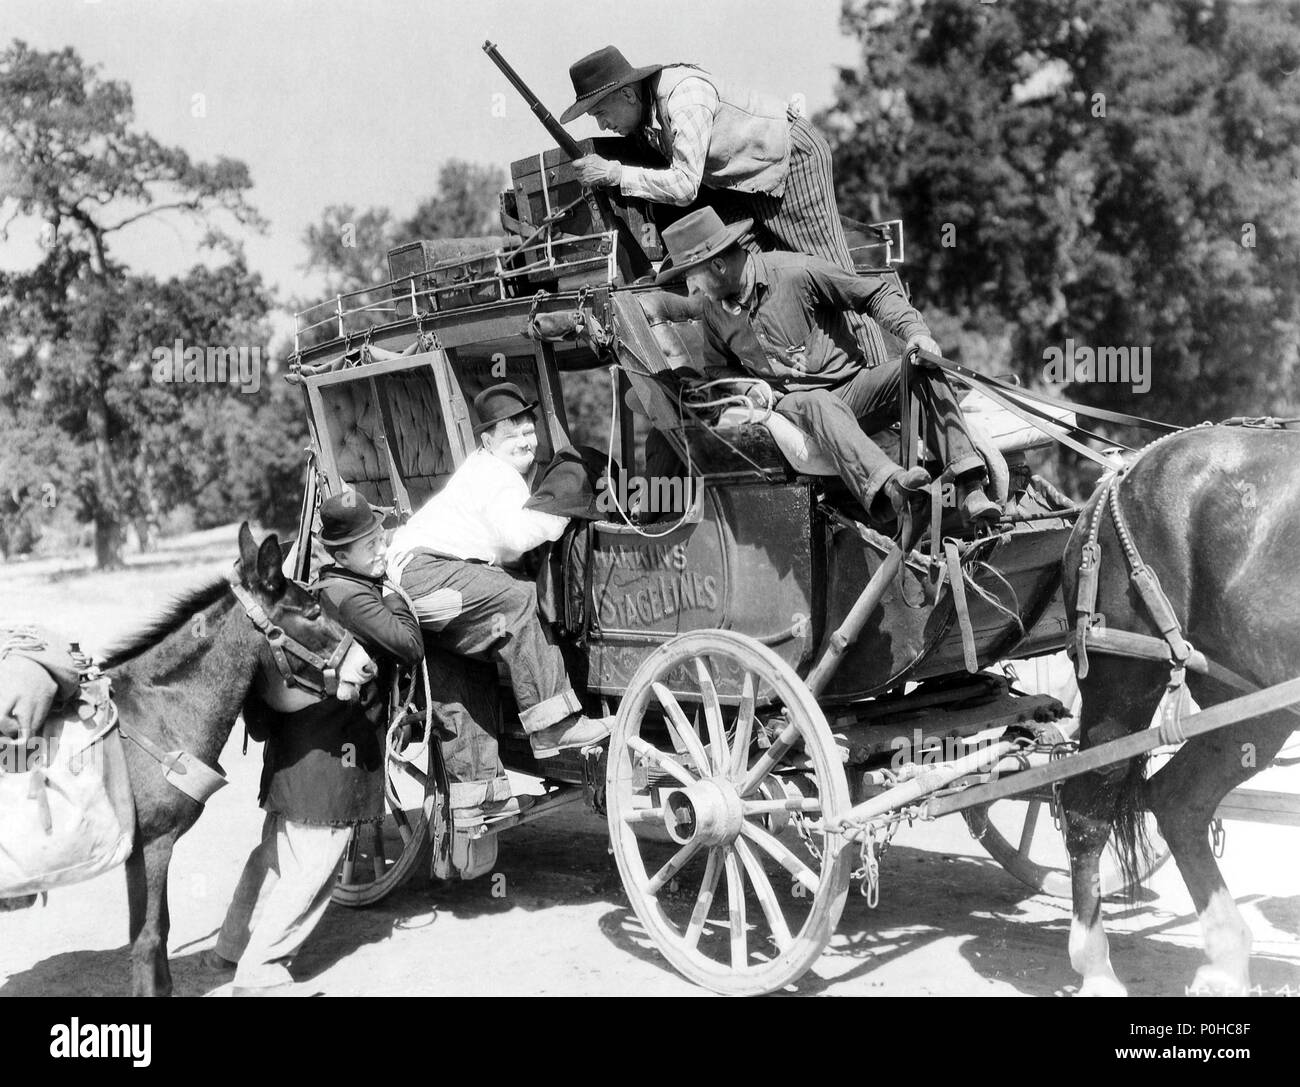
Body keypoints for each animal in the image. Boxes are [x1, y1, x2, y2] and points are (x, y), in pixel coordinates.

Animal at [98, 522, 374, 998]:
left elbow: (158, 929)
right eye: (312, 612)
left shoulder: (151, 851)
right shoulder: (152, 845)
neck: (157, 711)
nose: (367, 667)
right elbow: (149, 936)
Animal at [1060, 421, 1294, 993]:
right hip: (1121, 688)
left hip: (1251, 707)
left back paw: (1226, 960)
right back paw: (1095, 965)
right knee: (1086, 808)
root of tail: (1117, 475)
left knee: (1176, 800)